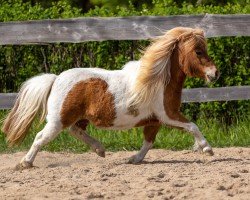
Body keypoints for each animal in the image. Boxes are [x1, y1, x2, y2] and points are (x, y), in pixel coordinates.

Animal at [1, 26, 219, 169]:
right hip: (58, 120)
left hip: (77, 118)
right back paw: (25, 163)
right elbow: (192, 126)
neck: (158, 81)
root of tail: (56, 79)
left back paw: (100, 150)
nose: (215, 73)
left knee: (75, 131)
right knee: (41, 137)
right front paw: (207, 149)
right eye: (198, 51)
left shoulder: (154, 120)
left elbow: (148, 142)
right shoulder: (168, 115)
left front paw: (134, 159)